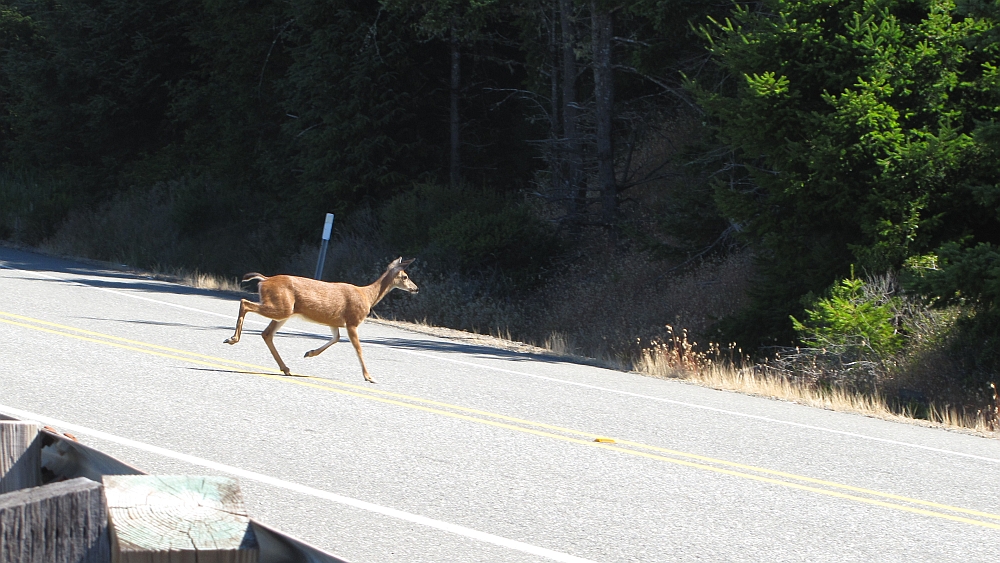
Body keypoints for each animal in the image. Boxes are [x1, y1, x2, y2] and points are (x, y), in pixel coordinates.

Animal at [224, 258, 418, 384]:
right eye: (405, 276)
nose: (416, 289)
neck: (368, 296)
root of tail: (265, 280)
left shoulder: (335, 322)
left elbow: (336, 339)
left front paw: (309, 353)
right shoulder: (352, 320)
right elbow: (359, 349)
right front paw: (369, 377)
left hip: (284, 311)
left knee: (266, 333)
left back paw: (286, 369)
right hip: (282, 308)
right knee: (245, 303)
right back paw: (232, 339)